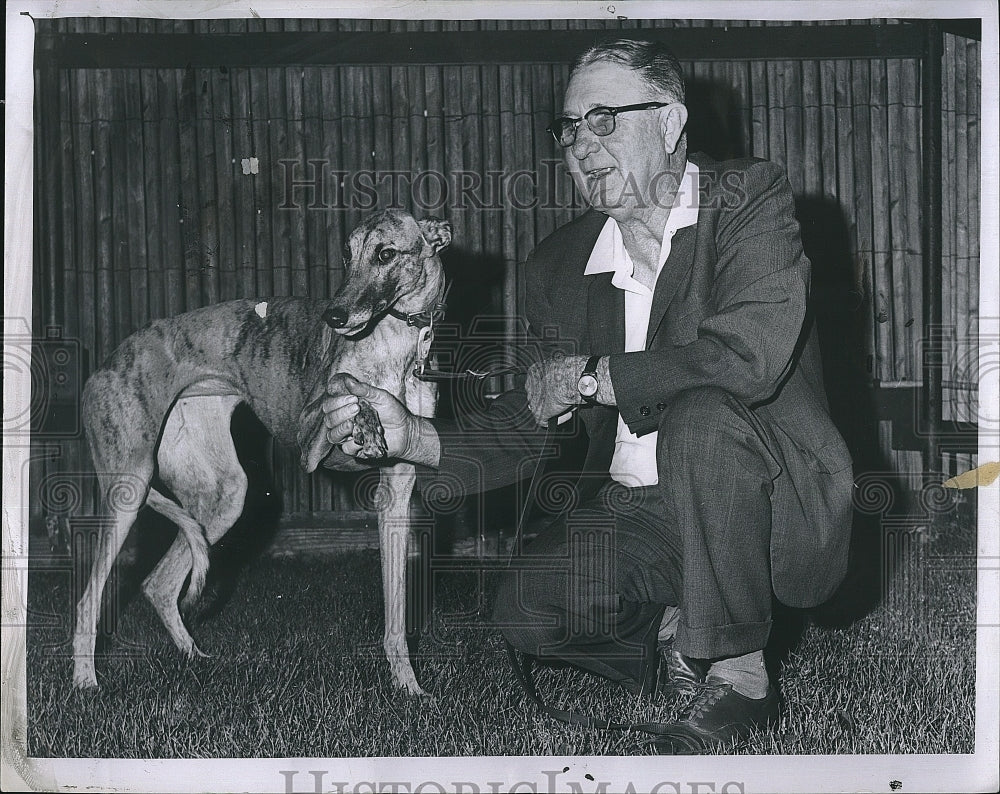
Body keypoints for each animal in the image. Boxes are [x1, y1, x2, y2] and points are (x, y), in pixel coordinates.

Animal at [70, 209, 446, 692]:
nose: (335, 316)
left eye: (386, 254)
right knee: (88, 600)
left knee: (158, 584)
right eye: (347, 254)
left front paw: (408, 686)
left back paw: (194, 657)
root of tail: (103, 366)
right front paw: (363, 417)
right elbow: (345, 387)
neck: (398, 343)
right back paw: (85, 681)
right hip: (128, 488)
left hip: (225, 496)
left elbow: (396, 615)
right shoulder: (310, 435)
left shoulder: (397, 488)